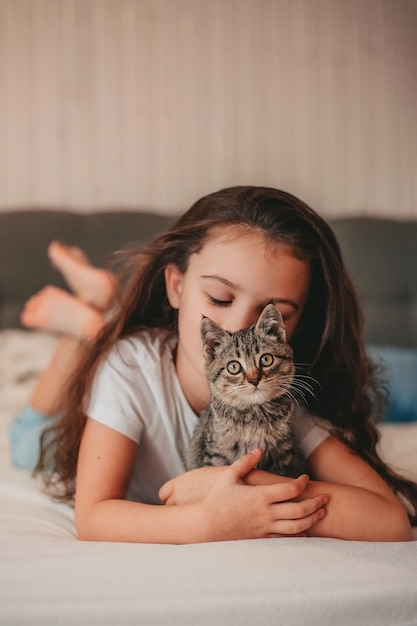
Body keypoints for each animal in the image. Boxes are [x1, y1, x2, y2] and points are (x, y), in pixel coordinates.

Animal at [187, 304, 304, 476]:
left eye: (266, 359)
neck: (254, 416)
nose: (254, 380)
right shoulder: (214, 455)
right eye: (233, 367)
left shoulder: (284, 455)